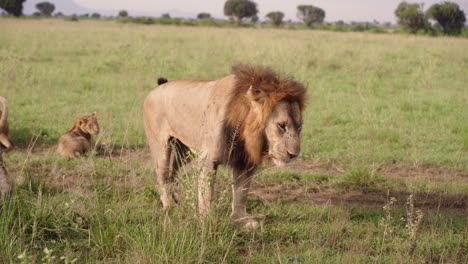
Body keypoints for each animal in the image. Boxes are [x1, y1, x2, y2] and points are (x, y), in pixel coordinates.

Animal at [144, 64, 308, 229]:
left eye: (299, 127)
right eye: (281, 125)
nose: (293, 154)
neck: (244, 128)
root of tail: (158, 88)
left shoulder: (245, 161)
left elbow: (241, 192)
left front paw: (240, 220)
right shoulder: (208, 159)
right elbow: (207, 193)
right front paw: (207, 220)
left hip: (184, 150)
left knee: (173, 172)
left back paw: (176, 199)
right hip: (161, 147)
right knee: (162, 176)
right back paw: (169, 205)